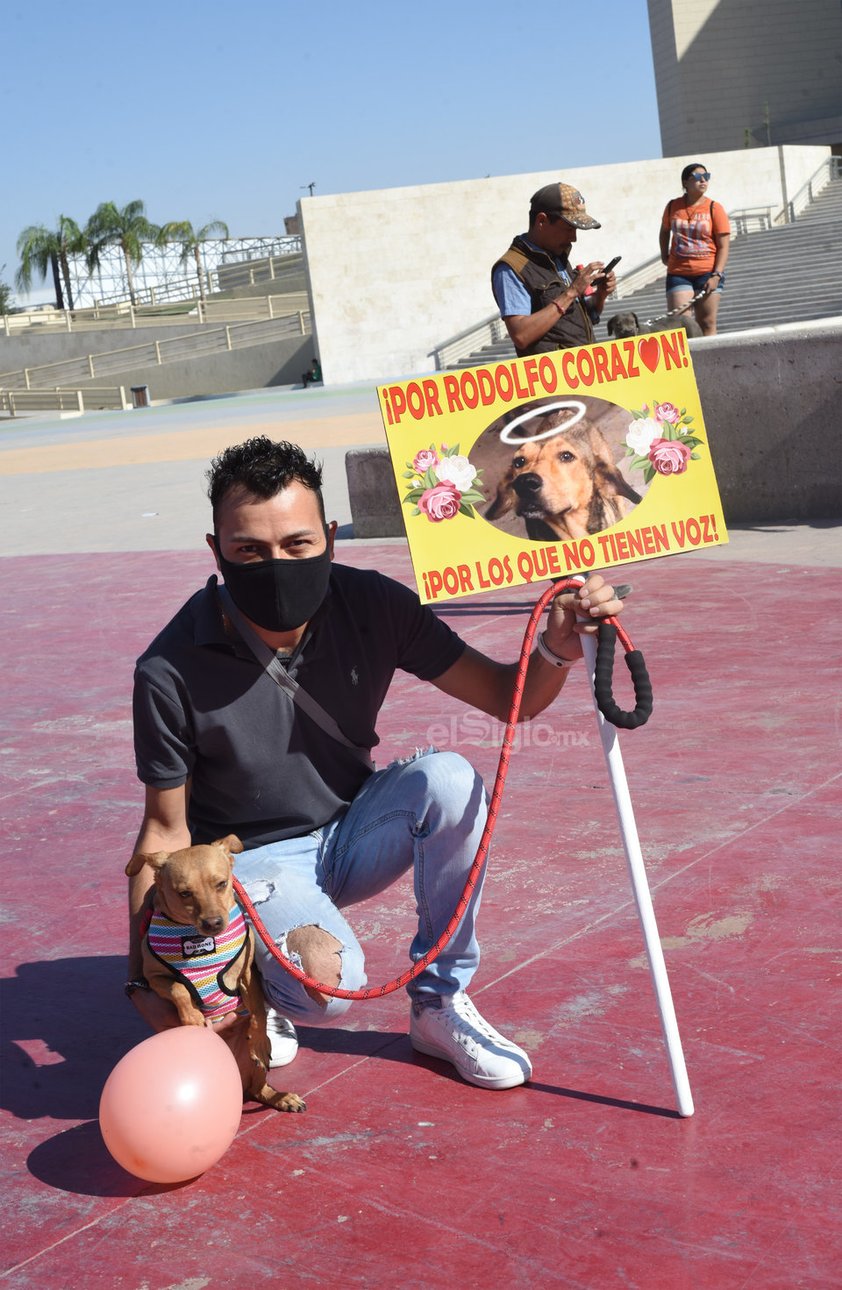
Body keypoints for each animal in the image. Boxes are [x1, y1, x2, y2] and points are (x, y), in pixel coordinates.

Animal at [126, 835, 304, 1109]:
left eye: (221, 884)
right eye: (184, 893)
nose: (213, 923)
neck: (198, 942)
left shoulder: (246, 974)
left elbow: (257, 1012)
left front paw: (260, 1041)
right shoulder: (156, 978)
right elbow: (179, 988)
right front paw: (192, 1018)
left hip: (254, 1069)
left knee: (259, 1088)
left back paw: (280, 1097)